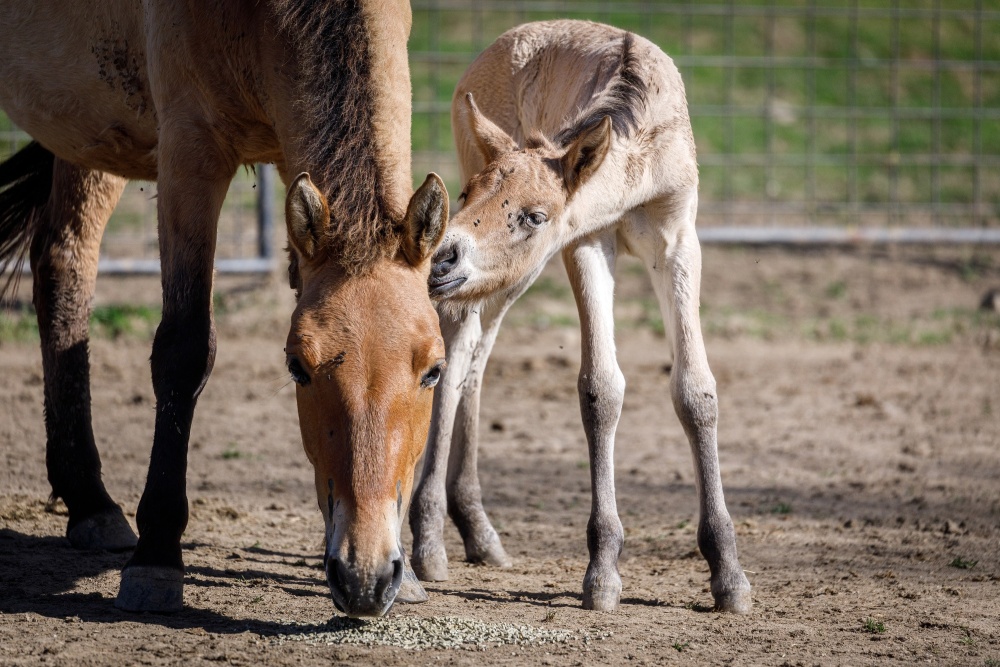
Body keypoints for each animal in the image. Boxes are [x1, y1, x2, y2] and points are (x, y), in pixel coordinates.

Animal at [0, 0, 448, 620]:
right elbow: (184, 348)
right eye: (297, 368)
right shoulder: (191, 151)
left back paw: (91, 502)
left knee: (63, 263)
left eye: (434, 371)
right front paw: (157, 557)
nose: (367, 577)